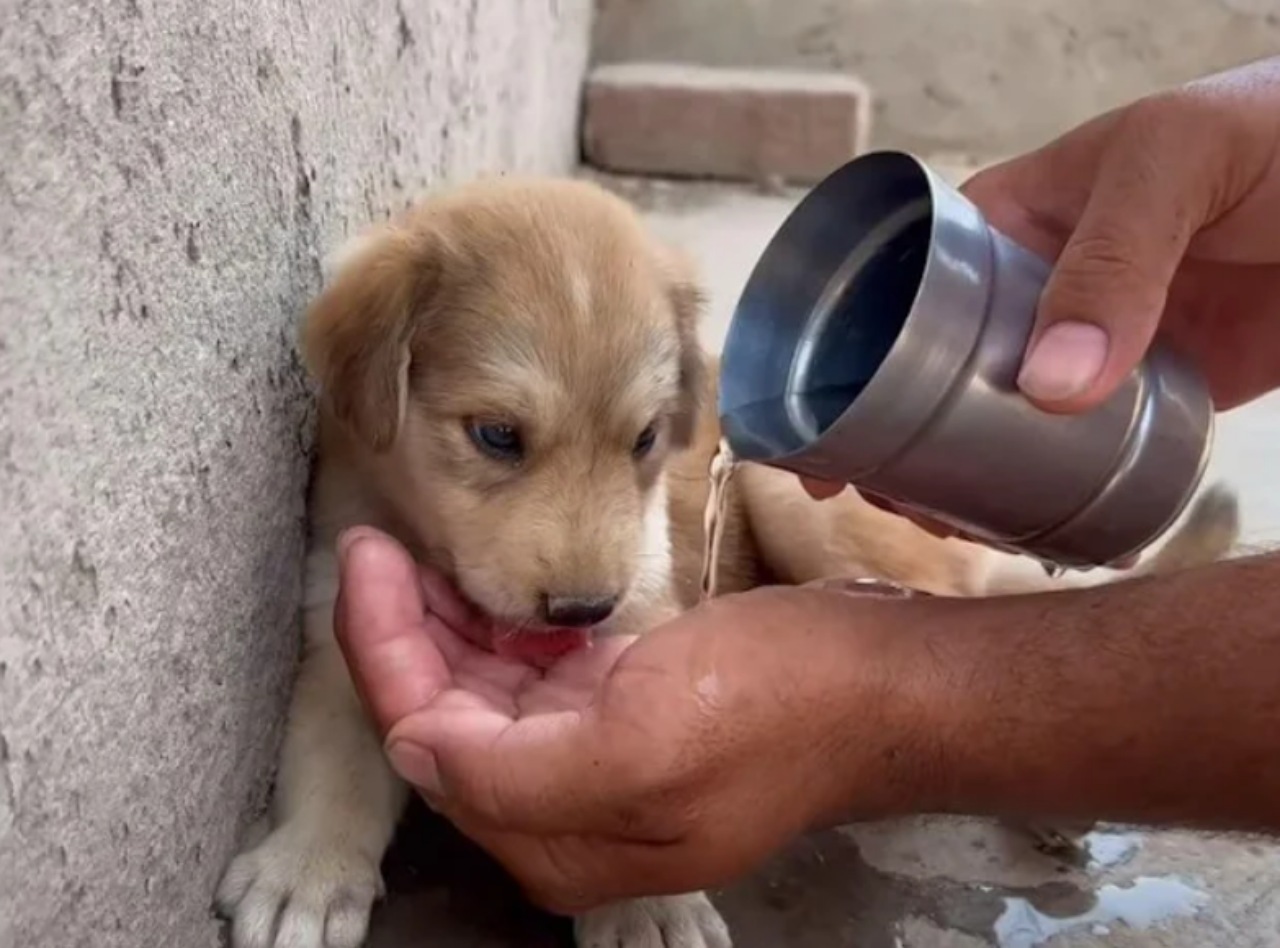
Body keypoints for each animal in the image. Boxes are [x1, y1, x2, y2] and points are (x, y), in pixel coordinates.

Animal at [220, 171, 1239, 946]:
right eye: (497, 436)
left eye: (642, 439)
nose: (580, 612)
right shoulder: (335, 615)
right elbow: (330, 757)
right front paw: (310, 867)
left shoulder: (647, 591)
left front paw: (645, 904)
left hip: (796, 500)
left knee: (960, 619)